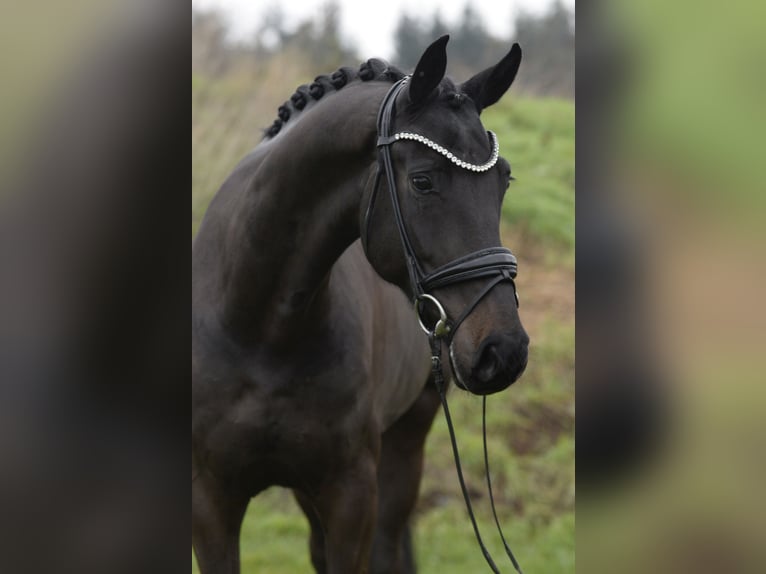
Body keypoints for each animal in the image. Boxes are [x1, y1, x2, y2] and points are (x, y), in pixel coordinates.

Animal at [192, 37, 532, 574]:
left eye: (504, 181)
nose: (504, 350)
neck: (261, 328)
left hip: (406, 439)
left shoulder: (351, 493)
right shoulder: (212, 499)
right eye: (422, 182)